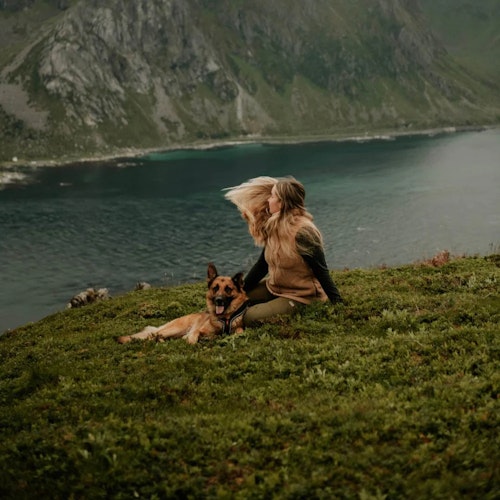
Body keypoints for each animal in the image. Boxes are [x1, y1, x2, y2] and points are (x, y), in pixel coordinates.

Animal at [117, 264, 250, 346]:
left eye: (228, 289)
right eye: (215, 288)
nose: (218, 300)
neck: (225, 318)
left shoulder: (238, 328)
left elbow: (240, 331)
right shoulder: (197, 331)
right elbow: (193, 336)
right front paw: (193, 341)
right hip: (175, 329)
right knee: (154, 334)